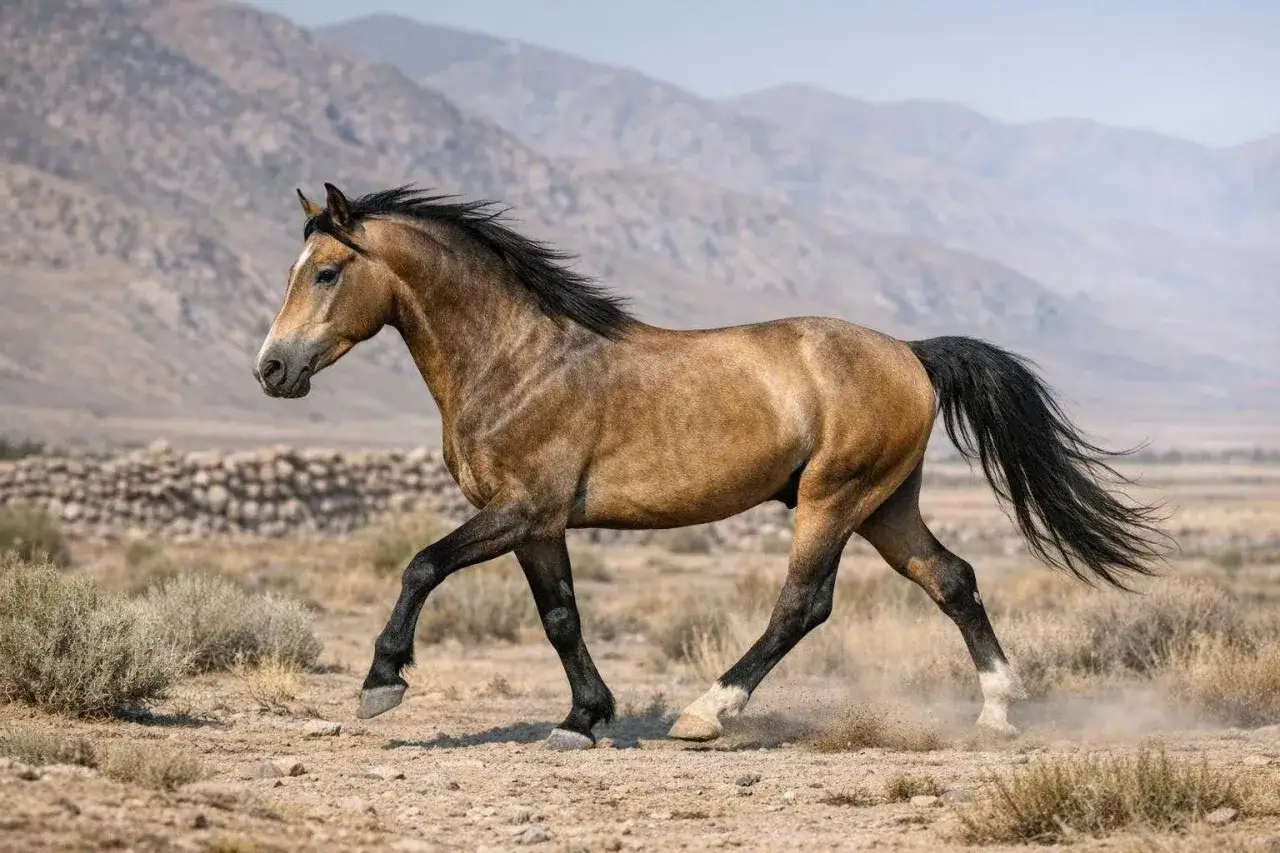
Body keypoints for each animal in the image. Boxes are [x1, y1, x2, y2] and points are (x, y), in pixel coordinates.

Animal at [254, 182, 1167, 750]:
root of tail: (910, 351)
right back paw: (998, 714)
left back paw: (705, 712)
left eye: (327, 272)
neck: (519, 359)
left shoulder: (519, 510)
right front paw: (582, 718)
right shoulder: (539, 525)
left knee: (803, 604)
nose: (271, 369)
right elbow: (561, 617)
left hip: (834, 500)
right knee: (953, 579)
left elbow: (421, 564)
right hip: (885, 505)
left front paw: (382, 681)